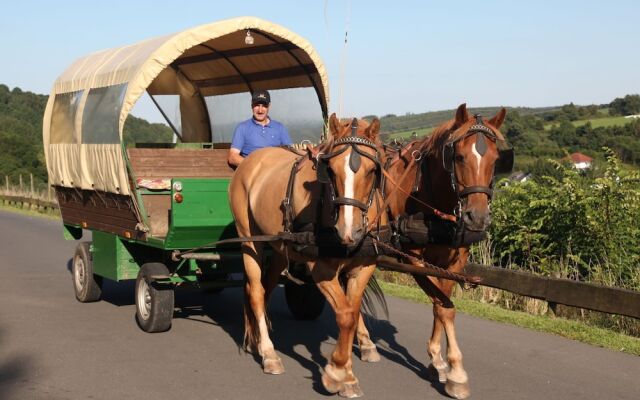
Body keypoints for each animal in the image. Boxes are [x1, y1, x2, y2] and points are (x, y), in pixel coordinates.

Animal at [230, 112, 390, 396]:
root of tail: (251, 160)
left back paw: (258, 341)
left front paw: (347, 373)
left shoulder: (364, 266)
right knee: (256, 291)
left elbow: (353, 311)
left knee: (265, 286)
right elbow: (345, 315)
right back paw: (269, 353)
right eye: (331, 170)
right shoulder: (321, 268)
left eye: (372, 171)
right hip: (249, 239)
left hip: (280, 246)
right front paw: (337, 373)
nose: (348, 231)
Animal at [380, 104, 510, 398]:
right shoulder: (414, 259)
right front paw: (455, 372)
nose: (477, 218)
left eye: (496, 159)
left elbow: (442, 304)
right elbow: (443, 307)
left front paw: (437, 360)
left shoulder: (454, 262)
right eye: (458, 157)